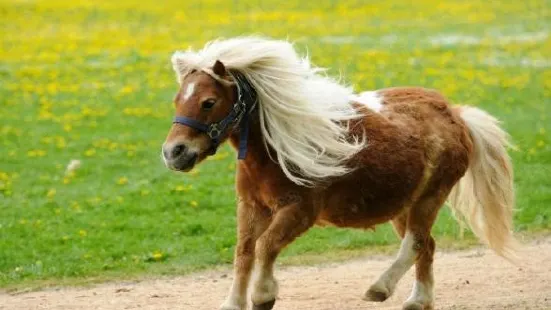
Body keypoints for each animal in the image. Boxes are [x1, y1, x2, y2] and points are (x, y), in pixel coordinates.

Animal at [161, 37, 516, 310]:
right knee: (426, 245)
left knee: (415, 243)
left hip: (431, 197)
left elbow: (266, 246)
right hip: (405, 206)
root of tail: (455, 114)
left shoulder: (299, 211)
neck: (274, 151)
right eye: (177, 99)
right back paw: (418, 300)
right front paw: (234, 302)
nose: (173, 152)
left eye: (208, 102)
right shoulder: (251, 207)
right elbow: (244, 251)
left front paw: (263, 295)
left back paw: (379, 288)